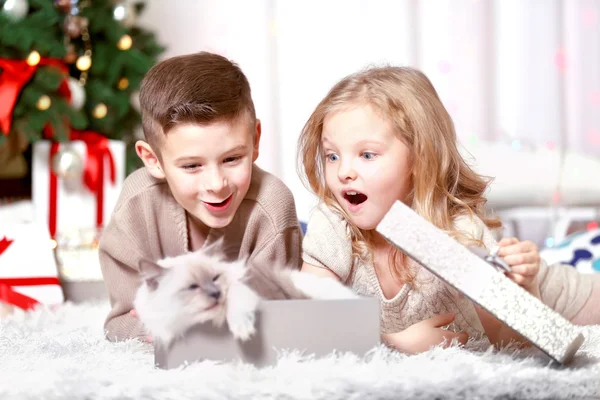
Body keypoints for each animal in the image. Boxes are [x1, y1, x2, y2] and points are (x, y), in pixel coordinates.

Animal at [132, 245, 356, 346]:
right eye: (193, 286)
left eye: (215, 278)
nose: (216, 293)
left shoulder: (241, 290)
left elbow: (237, 307)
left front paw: (243, 331)